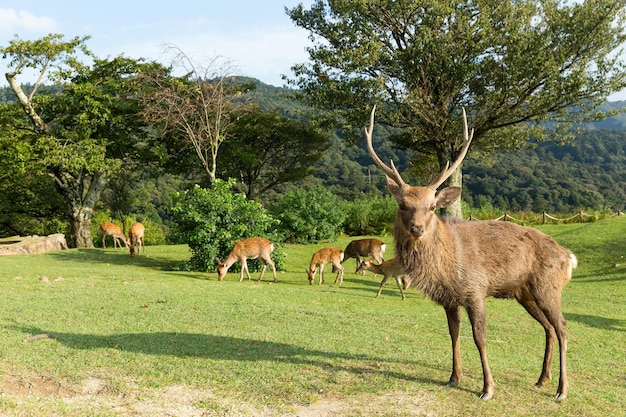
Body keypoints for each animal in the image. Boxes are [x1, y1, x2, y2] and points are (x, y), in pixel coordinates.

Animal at [366, 105, 576, 402]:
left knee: (562, 327)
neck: (445, 267)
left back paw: (561, 390)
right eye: (402, 205)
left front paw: (487, 388)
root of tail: (569, 258)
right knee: (548, 327)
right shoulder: (449, 299)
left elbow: (479, 337)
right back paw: (541, 380)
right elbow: (453, 334)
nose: (417, 228)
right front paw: (454, 377)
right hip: (525, 293)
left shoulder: (475, 290)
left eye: (432, 207)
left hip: (548, 286)